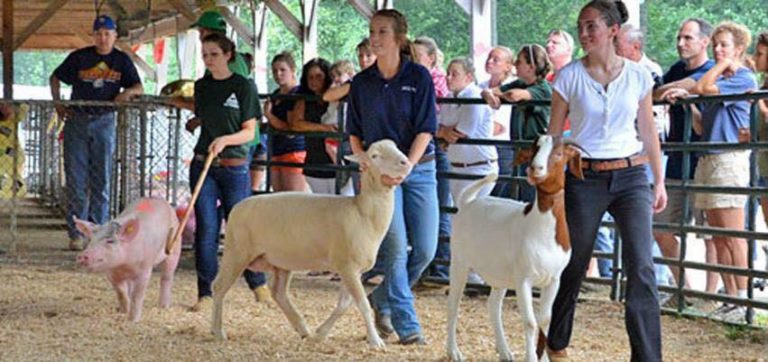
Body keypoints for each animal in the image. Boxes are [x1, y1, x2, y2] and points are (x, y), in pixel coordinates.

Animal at [210, 139, 414, 348]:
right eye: (374, 156)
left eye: (396, 147)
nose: (405, 162)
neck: (362, 212)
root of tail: (237, 207)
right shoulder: (347, 266)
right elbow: (362, 304)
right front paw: (375, 341)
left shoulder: (351, 270)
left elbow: (344, 305)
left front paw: (320, 334)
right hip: (236, 252)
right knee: (219, 287)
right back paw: (218, 331)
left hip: (281, 261)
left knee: (279, 293)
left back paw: (303, 329)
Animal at [444, 136, 584, 362]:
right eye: (535, 149)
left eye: (559, 153)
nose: (535, 168)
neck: (542, 229)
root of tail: (468, 202)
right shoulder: (523, 279)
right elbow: (530, 322)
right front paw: (531, 358)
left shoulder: (554, 280)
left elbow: (545, 320)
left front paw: (543, 358)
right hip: (459, 261)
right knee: (453, 304)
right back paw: (454, 351)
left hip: (500, 274)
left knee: (493, 306)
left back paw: (504, 351)